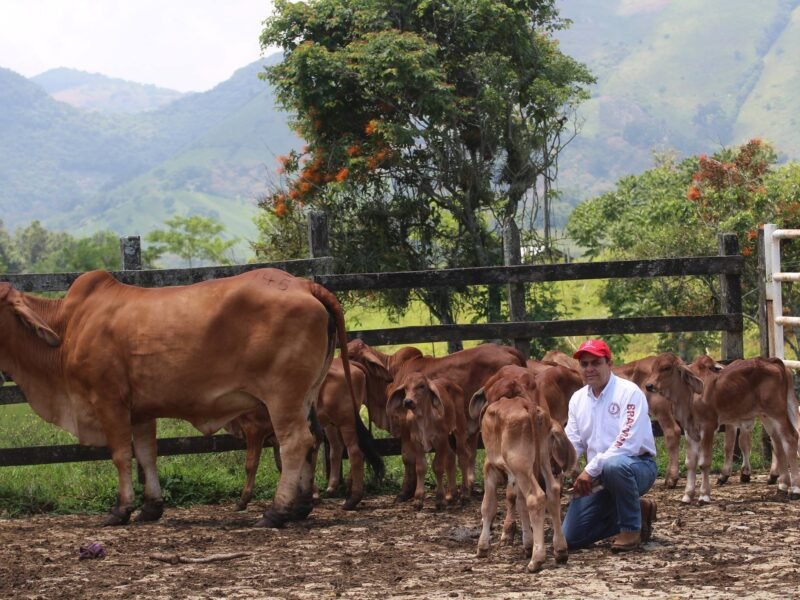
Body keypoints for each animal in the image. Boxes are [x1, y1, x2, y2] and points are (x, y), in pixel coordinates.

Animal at [0, 270, 354, 528]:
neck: (67, 327)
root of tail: (304, 284)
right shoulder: (141, 412)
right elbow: (146, 455)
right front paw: (151, 507)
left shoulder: (109, 401)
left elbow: (120, 456)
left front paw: (120, 509)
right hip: (307, 395)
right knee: (314, 439)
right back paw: (300, 506)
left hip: (283, 397)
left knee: (295, 442)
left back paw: (276, 512)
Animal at [227, 356, 386, 510]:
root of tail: (350, 364)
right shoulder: (275, 438)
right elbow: (283, 464)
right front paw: (311, 494)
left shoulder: (254, 430)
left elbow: (251, 465)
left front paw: (243, 500)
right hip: (335, 423)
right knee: (342, 449)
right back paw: (343, 490)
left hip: (345, 420)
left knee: (355, 452)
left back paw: (352, 499)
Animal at [386, 372, 468, 508]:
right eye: (405, 388)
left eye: (421, 386)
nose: (408, 401)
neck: (423, 418)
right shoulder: (416, 442)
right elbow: (420, 467)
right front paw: (418, 499)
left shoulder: (440, 440)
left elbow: (438, 467)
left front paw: (439, 498)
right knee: (451, 458)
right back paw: (451, 494)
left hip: (459, 429)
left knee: (462, 457)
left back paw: (464, 494)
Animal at [472, 394, 580, 572]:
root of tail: (527, 405)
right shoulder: (515, 477)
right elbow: (521, 504)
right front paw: (528, 544)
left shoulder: (490, 468)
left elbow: (488, 507)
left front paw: (482, 547)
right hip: (541, 461)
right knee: (552, 492)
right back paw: (560, 551)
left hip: (520, 464)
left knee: (536, 497)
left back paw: (536, 560)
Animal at [644, 354, 800, 504]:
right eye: (653, 368)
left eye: (666, 368)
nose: (649, 385)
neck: (690, 395)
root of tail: (772, 361)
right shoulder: (690, 430)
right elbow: (690, 463)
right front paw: (687, 495)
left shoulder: (708, 426)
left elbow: (704, 462)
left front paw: (704, 496)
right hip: (766, 416)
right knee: (778, 442)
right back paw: (782, 487)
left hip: (777, 412)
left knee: (790, 438)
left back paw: (794, 489)